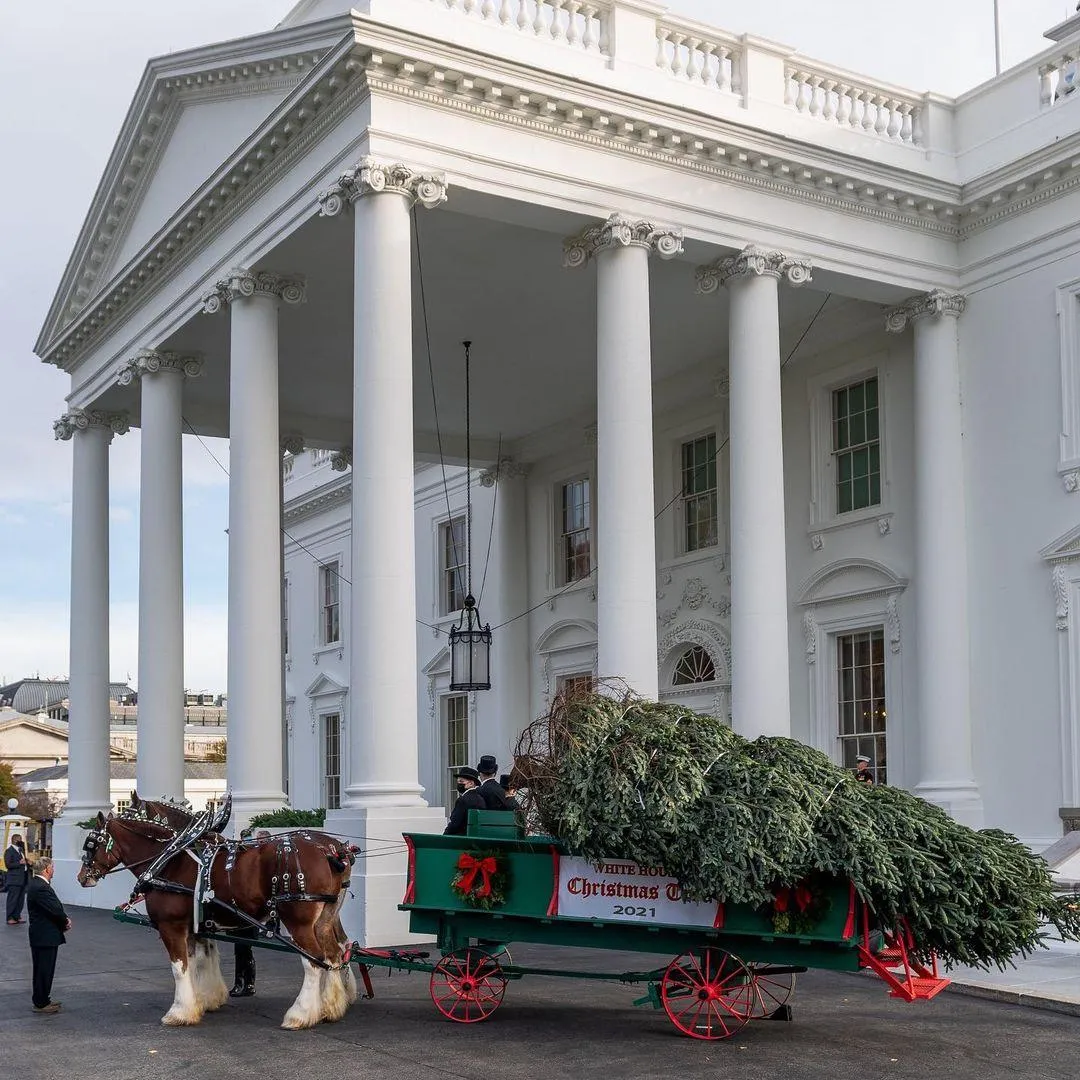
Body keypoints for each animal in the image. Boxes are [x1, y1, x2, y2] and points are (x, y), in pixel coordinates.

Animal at [81, 803, 358, 1028]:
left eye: (91, 844)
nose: (82, 877)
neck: (171, 859)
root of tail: (331, 850)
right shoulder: (197, 926)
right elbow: (200, 961)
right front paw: (205, 1001)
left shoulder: (171, 926)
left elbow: (179, 968)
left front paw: (178, 1012)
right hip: (325, 918)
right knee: (334, 954)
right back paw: (332, 1007)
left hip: (298, 920)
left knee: (314, 960)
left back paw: (300, 1014)